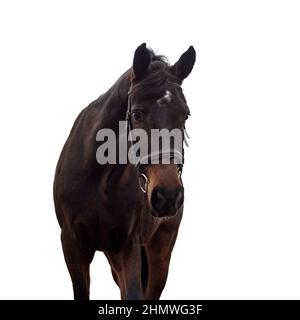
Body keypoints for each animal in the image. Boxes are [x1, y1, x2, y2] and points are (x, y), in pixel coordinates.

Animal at [52, 43, 196, 300]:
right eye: (137, 113)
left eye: (185, 115)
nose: (168, 196)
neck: (97, 181)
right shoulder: (73, 246)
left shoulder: (127, 248)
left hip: (160, 252)